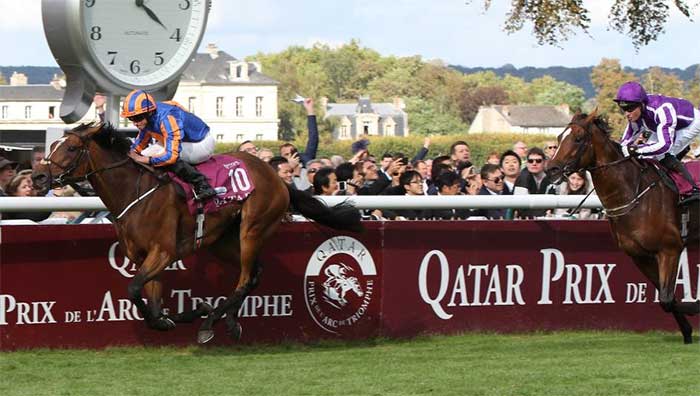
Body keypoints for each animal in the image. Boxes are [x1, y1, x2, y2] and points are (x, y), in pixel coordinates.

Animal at [30, 124, 364, 344]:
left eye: (71, 148)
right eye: (53, 146)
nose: (38, 177)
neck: (134, 192)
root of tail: (278, 178)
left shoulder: (163, 252)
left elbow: (134, 289)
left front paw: (193, 314)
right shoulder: (144, 256)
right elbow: (152, 302)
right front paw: (174, 317)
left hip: (252, 228)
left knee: (245, 278)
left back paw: (212, 323)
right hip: (222, 242)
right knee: (255, 272)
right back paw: (228, 319)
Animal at [548, 111, 700, 344]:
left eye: (579, 139)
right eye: (558, 137)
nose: (551, 169)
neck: (633, 194)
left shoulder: (670, 249)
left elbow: (667, 298)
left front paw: (695, 307)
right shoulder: (640, 256)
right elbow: (667, 299)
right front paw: (688, 333)